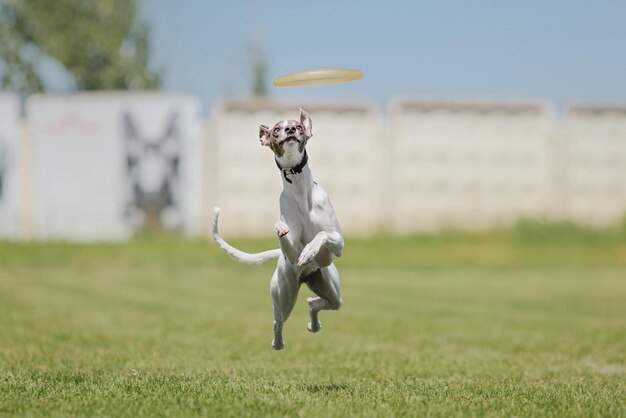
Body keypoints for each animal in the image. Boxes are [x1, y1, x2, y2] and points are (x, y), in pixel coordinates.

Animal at [213, 108, 342, 350]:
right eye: (276, 130)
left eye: (298, 127)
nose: (290, 130)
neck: (300, 191)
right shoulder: (291, 253)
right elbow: (285, 236)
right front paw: (280, 227)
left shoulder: (337, 245)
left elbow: (323, 235)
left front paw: (309, 251)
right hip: (284, 293)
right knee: (279, 319)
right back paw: (278, 343)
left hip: (330, 288)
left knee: (318, 303)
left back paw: (313, 324)